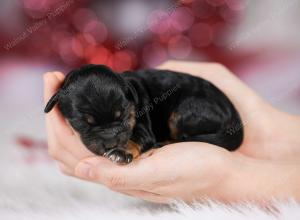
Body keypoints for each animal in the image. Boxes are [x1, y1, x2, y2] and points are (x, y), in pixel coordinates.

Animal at [45, 64, 245, 164]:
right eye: (84, 123)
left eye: (123, 115)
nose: (111, 141)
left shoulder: (143, 128)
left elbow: (135, 139)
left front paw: (121, 152)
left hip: (184, 112)